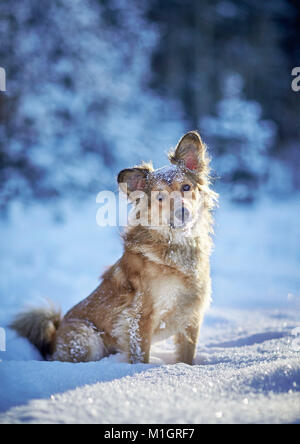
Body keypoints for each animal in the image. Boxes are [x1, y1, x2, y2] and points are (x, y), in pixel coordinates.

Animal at [11, 131, 218, 364]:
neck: (176, 246)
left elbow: (186, 356)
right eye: (160, 198)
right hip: (86, 337)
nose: (182, 212)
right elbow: (141, 356)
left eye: (186, 187)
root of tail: (53, 336)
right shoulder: (139, 316)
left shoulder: (191, 316)